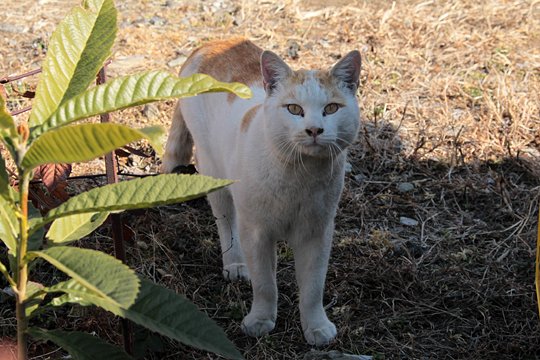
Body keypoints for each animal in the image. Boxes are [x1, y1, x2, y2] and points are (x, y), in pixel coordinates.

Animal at [162, 38, 360, 346]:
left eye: (331, 109)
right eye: (294, 109)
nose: (314, 130)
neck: (299, 176)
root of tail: (209, 44)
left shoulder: (317, 233)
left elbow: (313, 287)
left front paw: (316, 328)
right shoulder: (257, 233)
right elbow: (265, 283)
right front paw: (260, 321)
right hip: (214, 172)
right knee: (227, 224)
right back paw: (235, 264)